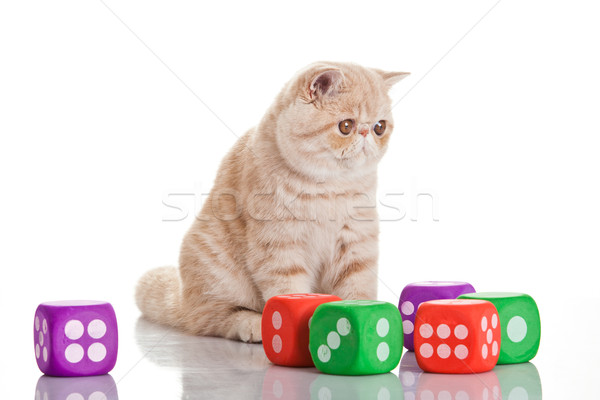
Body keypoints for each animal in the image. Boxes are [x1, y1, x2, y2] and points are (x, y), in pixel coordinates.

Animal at [135, 62, 408, 344]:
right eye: (346, 125)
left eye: (379, 127)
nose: (366, 133)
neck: (330, 188)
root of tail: (183, 298)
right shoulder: (280, 246)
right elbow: (288, 291)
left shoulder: (356, 244)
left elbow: (358, 288)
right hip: (215, 266)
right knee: (212, 319)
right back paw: (252, 324)